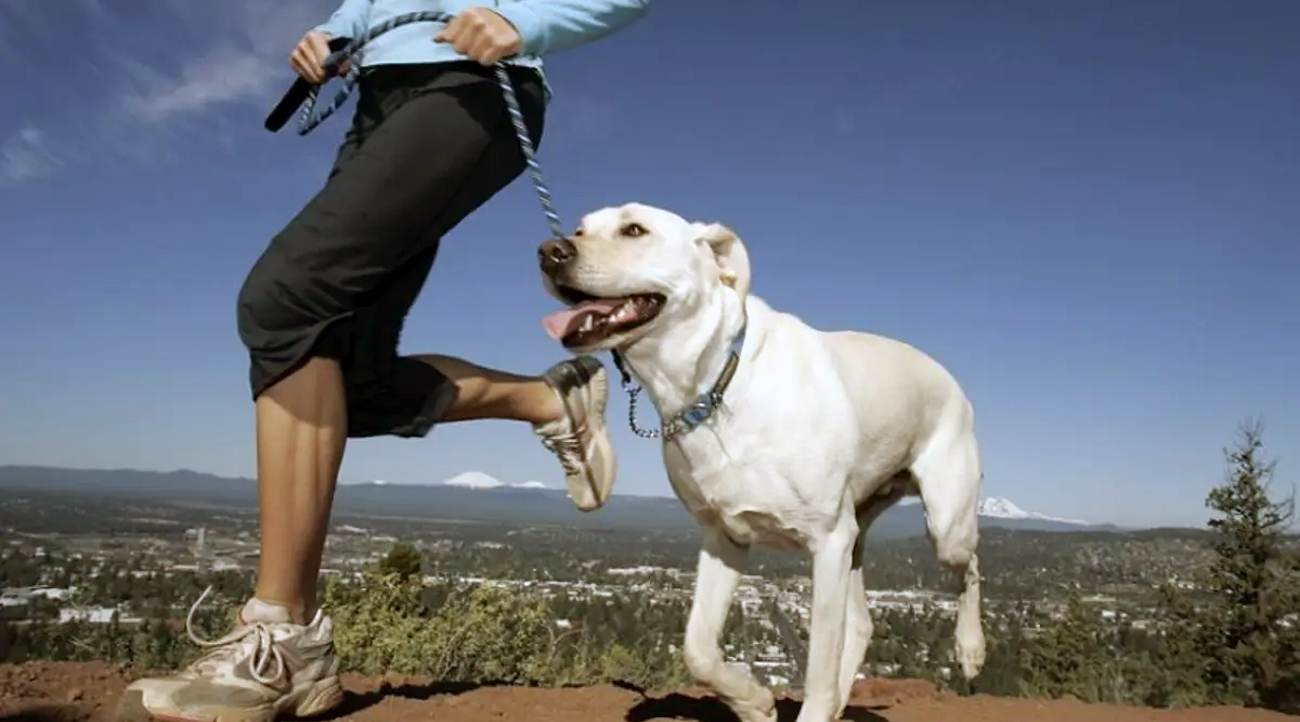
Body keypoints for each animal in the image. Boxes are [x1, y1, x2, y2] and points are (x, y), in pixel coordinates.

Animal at [538, 202, 982, 722]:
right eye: (580, 228)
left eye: (634, 229)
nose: (549, 251)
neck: (714, 387)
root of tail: (949, 378)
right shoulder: (724, 537)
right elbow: (698, 649)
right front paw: (754, 703)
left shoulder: (827, 541)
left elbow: (818, 666)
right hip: (856, 536)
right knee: (861, 624)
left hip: (943, 524)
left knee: (969, 566)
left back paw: (971, 650)